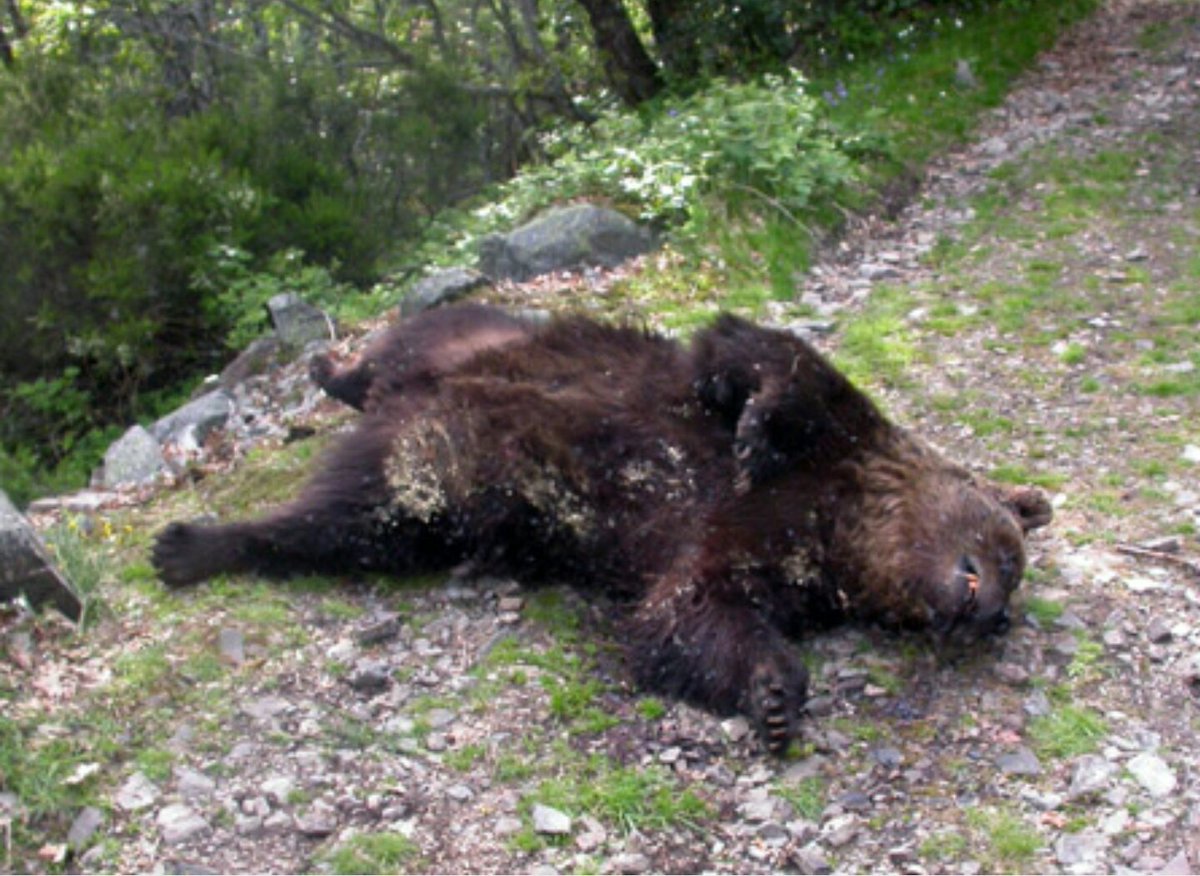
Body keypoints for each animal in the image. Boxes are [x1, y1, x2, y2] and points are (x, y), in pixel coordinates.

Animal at [154, 306, 1052, 753]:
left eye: (1011, 593)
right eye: (1006, 561)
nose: (990, 614)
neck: (848, 525)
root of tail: (401, 400)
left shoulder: (766, 558)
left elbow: (688, 615)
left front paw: (772, 696)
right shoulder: (828, 443)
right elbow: (762, 360)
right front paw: (755, 425)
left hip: (433, 480)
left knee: (354, 524)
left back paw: (201, 544)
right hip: (476, 347)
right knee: (399, 360)